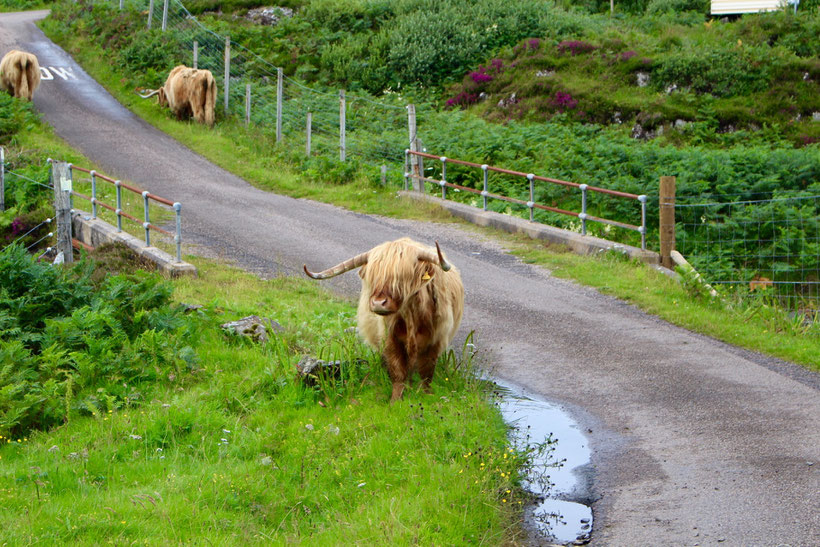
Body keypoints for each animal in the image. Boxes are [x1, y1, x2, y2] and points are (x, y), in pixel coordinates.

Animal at [304, 239, 464, 402]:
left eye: (402, 277)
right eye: (374, 277)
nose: (378, 303)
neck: (411, 316)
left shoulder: (436, 340)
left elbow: (426, 373)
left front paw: (425, 395)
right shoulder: (390, 340)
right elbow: (397, 372)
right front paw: (396, 400)